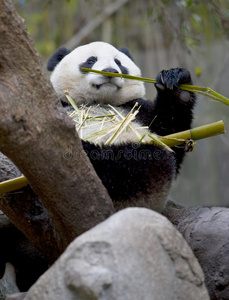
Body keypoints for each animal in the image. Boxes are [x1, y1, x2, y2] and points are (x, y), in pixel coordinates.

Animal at [47, 41, 196, 212]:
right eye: (91, 60)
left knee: (139, 163)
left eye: (118, 62)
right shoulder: (62, 104)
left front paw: (176, 81)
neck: (101, 101)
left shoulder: (135, 110)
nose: (110, 71)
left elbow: (171, 134)